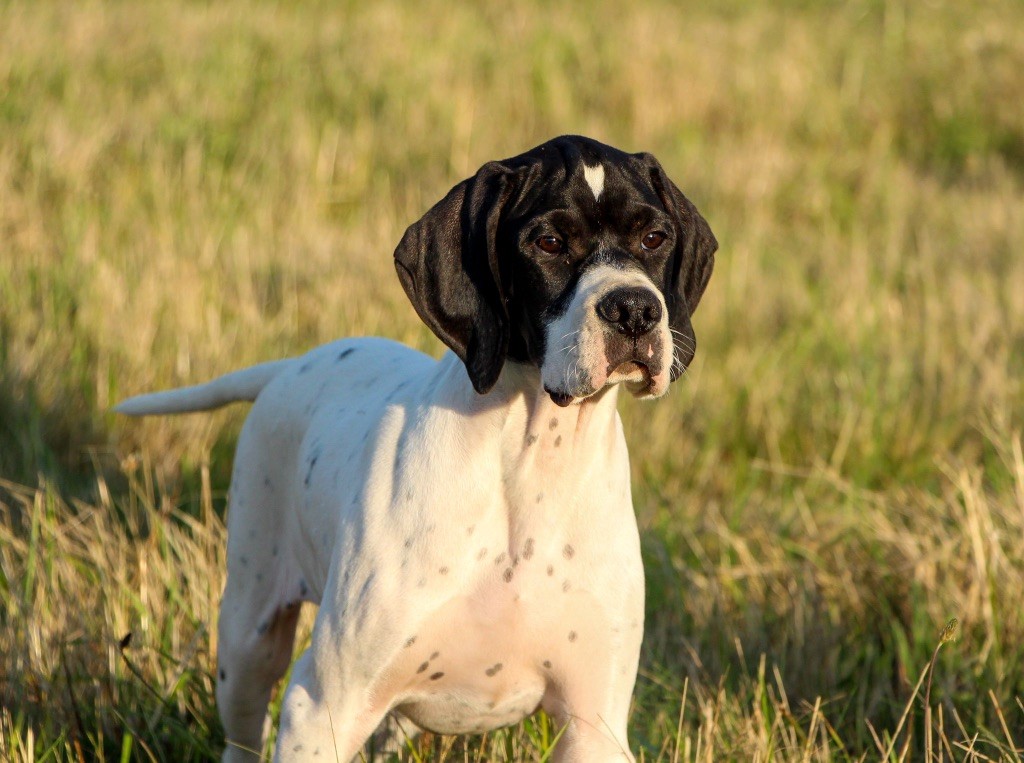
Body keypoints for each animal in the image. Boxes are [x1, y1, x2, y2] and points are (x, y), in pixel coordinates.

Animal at [116, 134, 716, 757]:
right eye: (549, 243)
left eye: (654, 237)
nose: (635, 308)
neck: (530, 465)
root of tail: (291, 366)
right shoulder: (323, 704)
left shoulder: (594, 724)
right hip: (249, 635)